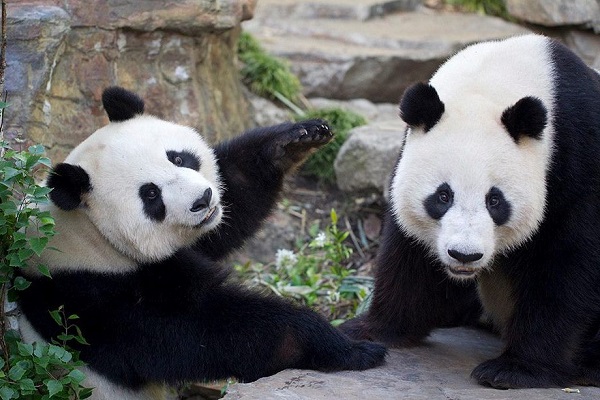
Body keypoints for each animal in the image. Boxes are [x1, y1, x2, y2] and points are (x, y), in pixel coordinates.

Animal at [18, 87, 386, 400]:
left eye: (178, 158)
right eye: (151, 195)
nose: (203, 199)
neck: (88, 235)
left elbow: (233, 202)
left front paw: (294, 140)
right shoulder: (99, 301)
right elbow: (210, 333)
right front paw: (343, 347)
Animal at [340, 33, 600, 388]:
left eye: (495, 201)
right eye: (443, 196)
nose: (464, 255)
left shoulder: (580, 157)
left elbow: (568, 267)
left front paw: (516, 369)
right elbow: (409, 256)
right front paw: (372, 330)